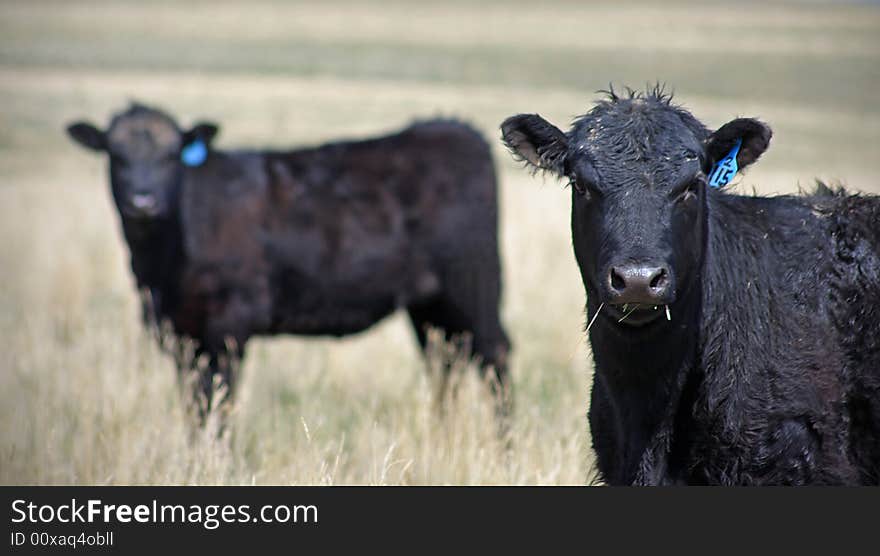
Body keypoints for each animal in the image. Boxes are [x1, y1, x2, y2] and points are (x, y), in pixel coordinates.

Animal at [67, 104, 508, 424]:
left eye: (171, 156)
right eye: (116, 155)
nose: (143, 201)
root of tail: (454, 128)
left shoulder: (229, 327)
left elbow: (220, 405)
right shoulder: (181, 336)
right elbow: (195, 409)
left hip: (474, 285)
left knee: (494, 356)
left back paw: (502, 446)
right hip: (429, 304)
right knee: (444, 363)